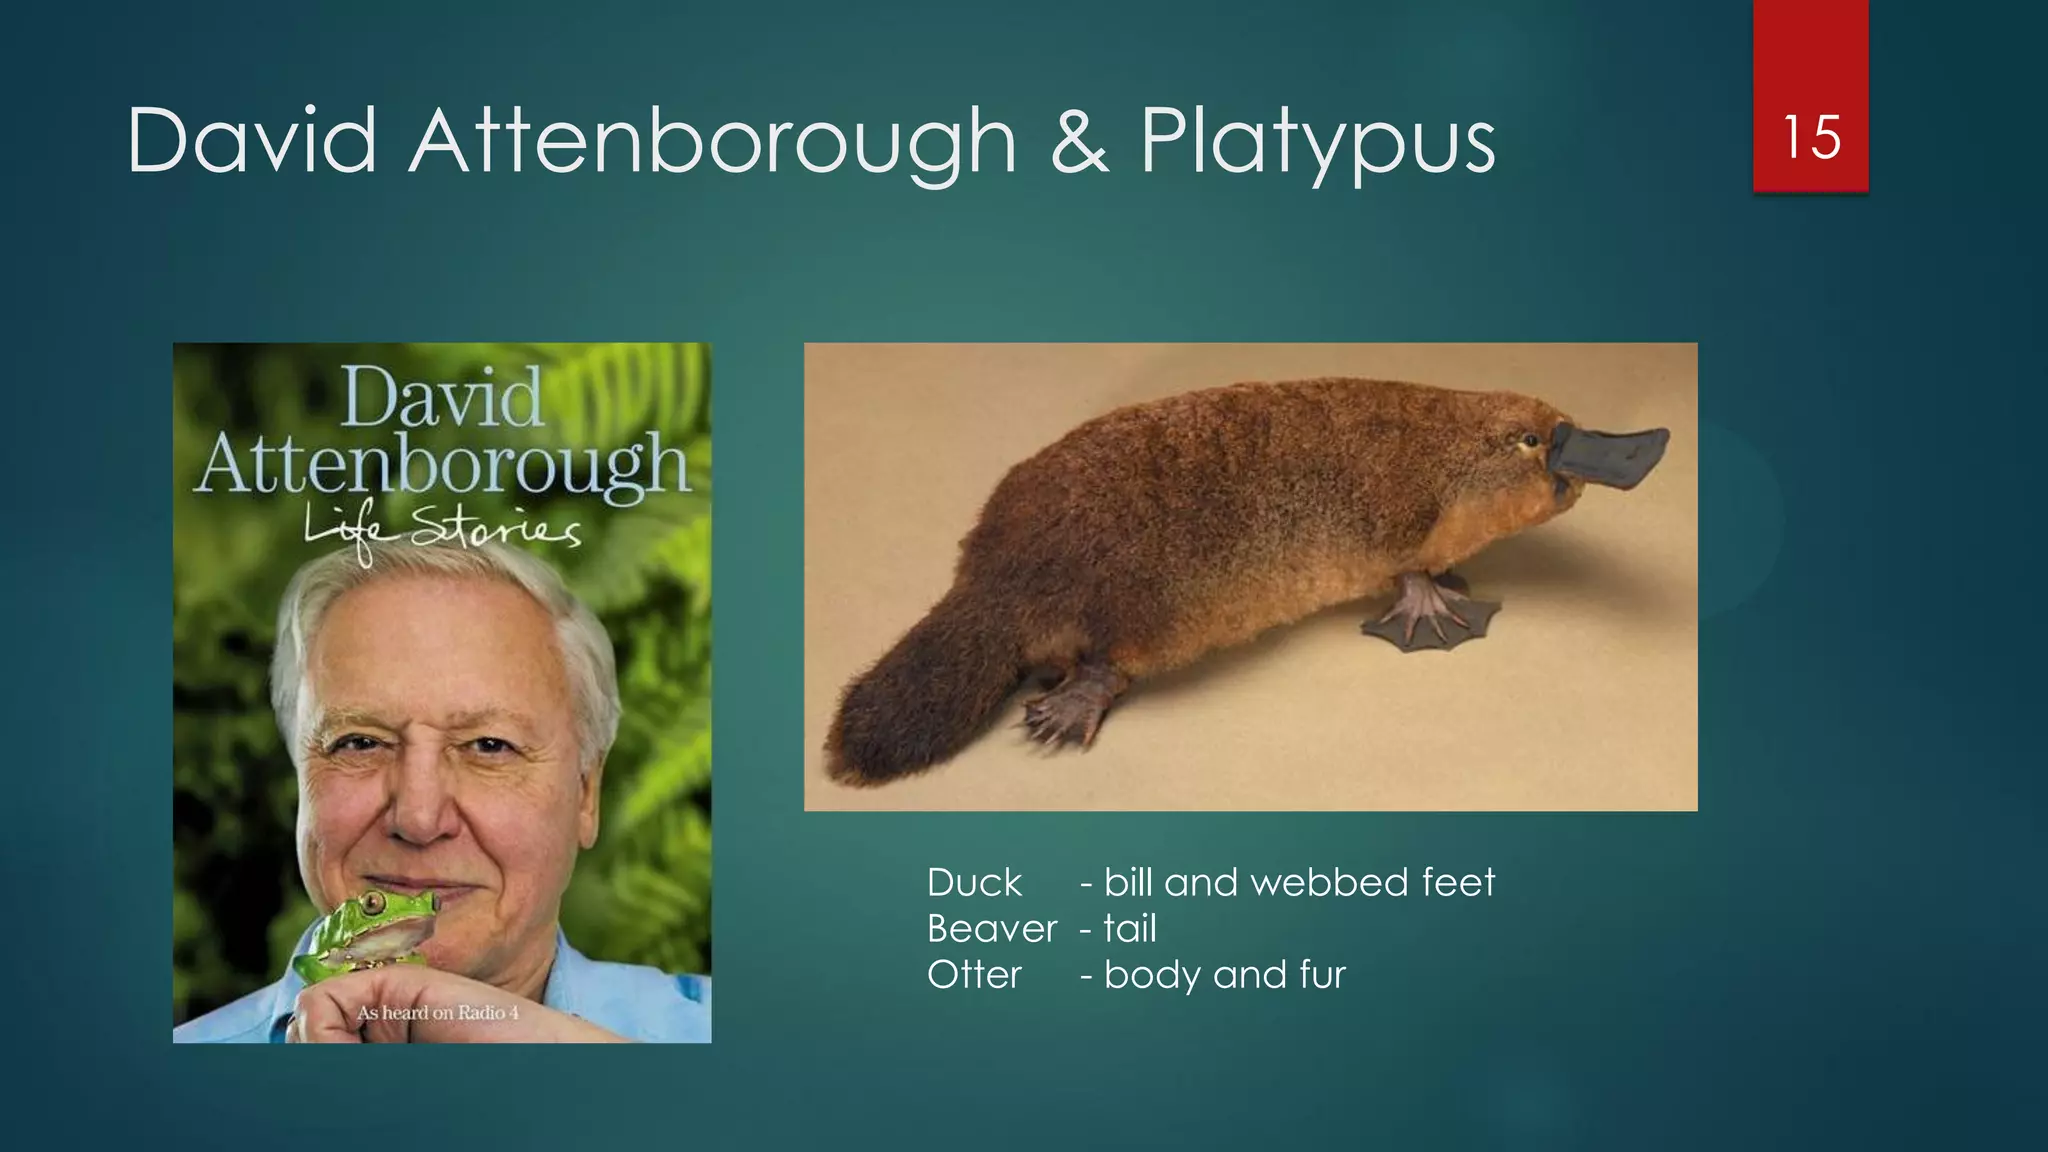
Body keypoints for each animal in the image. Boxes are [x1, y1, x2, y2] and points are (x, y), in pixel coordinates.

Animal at [824, 376, 1669, 786]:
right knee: (1106, 664)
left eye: (1555, 428)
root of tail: (992, 588)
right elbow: (1406, 571)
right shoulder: (1397, 515)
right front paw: (1435, 607)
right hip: (1140, 614)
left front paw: (1455, 582)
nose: (1646, 447)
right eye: (1531, 440)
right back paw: (1063, 713)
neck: (1444, 454)